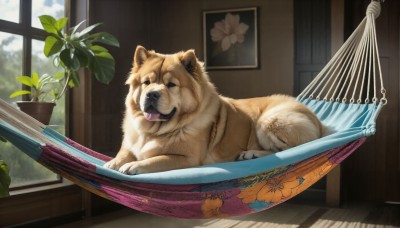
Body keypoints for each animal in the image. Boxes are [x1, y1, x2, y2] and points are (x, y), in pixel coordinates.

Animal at [104, 45, 324, 175]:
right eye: (146, 83)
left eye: (171, 85)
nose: (151, 94)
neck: (154, 131)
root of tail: (319, 122)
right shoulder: (131, 144)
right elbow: (124, 153)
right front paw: (112, 163)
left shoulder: (187, 159)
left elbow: (155, 159)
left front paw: (134, 166)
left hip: (267, 120)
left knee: (288, 150)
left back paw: (251, 153)